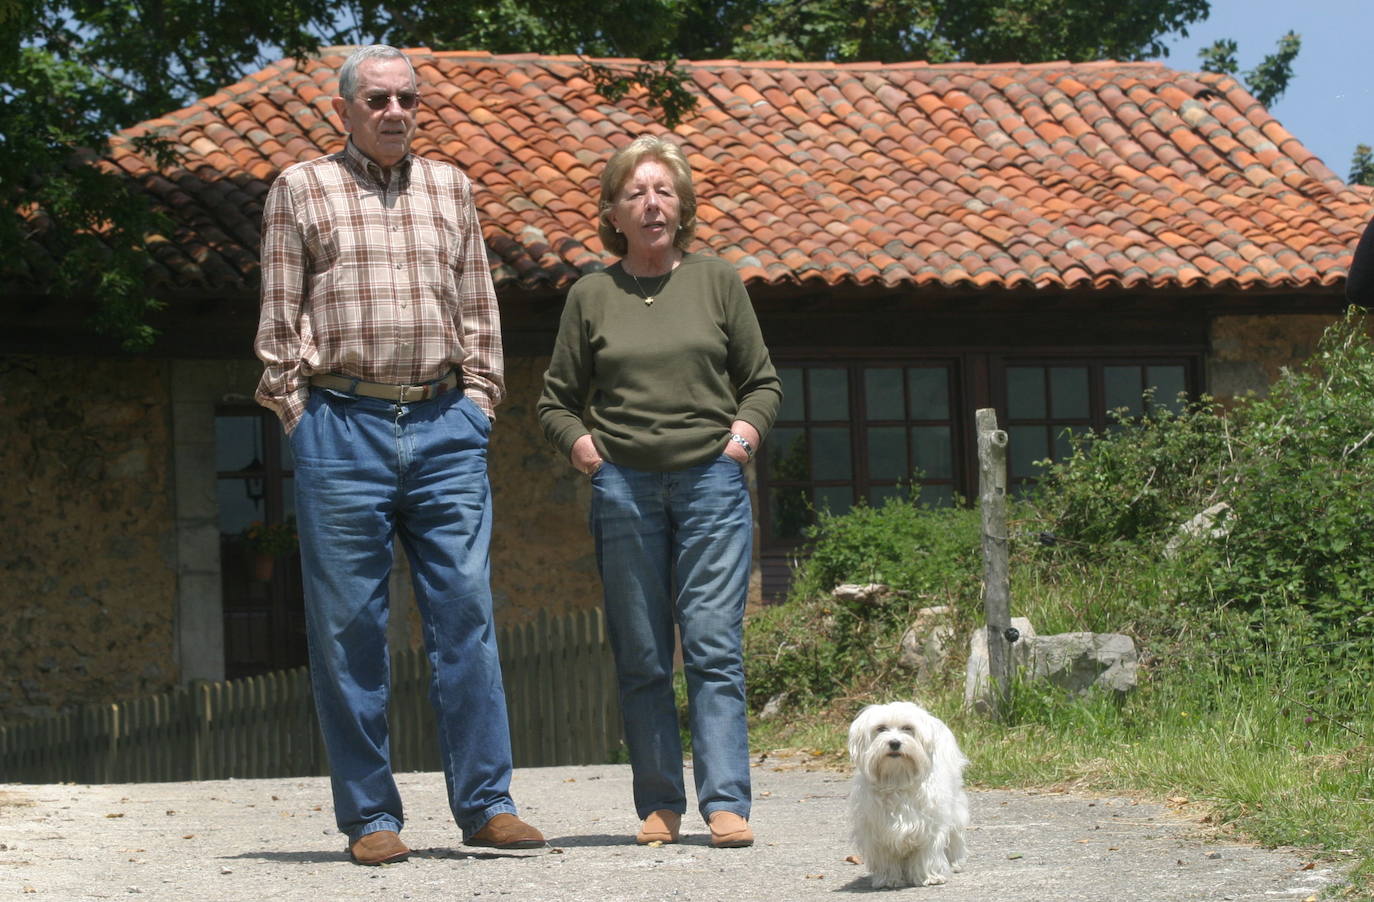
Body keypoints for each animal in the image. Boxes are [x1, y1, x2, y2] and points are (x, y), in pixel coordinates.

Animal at [840, 698, 972, 885]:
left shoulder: (929, 825)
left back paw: (955, 862)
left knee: (955, 836)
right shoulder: (877, 829)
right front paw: (888, 879)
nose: (895, 743)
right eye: (881, 728)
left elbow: (927, 853)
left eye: (907, 728)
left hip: (956, 810)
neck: (897, 778)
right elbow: (886, 858)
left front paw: (929, 876)